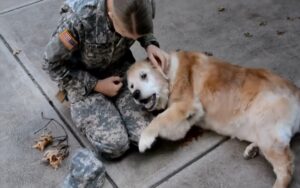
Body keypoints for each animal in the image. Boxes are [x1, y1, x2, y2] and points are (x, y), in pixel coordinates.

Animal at [126, 50, 300, 188]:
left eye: (144, 75)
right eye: (131, 86)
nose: (135, 95)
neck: (171, 74)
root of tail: (296, 91)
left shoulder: (187, 105)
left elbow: (159, 119)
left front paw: (145, 139)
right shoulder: (189, 116)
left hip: (266, 125)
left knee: (286, 168)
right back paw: (252, 149)